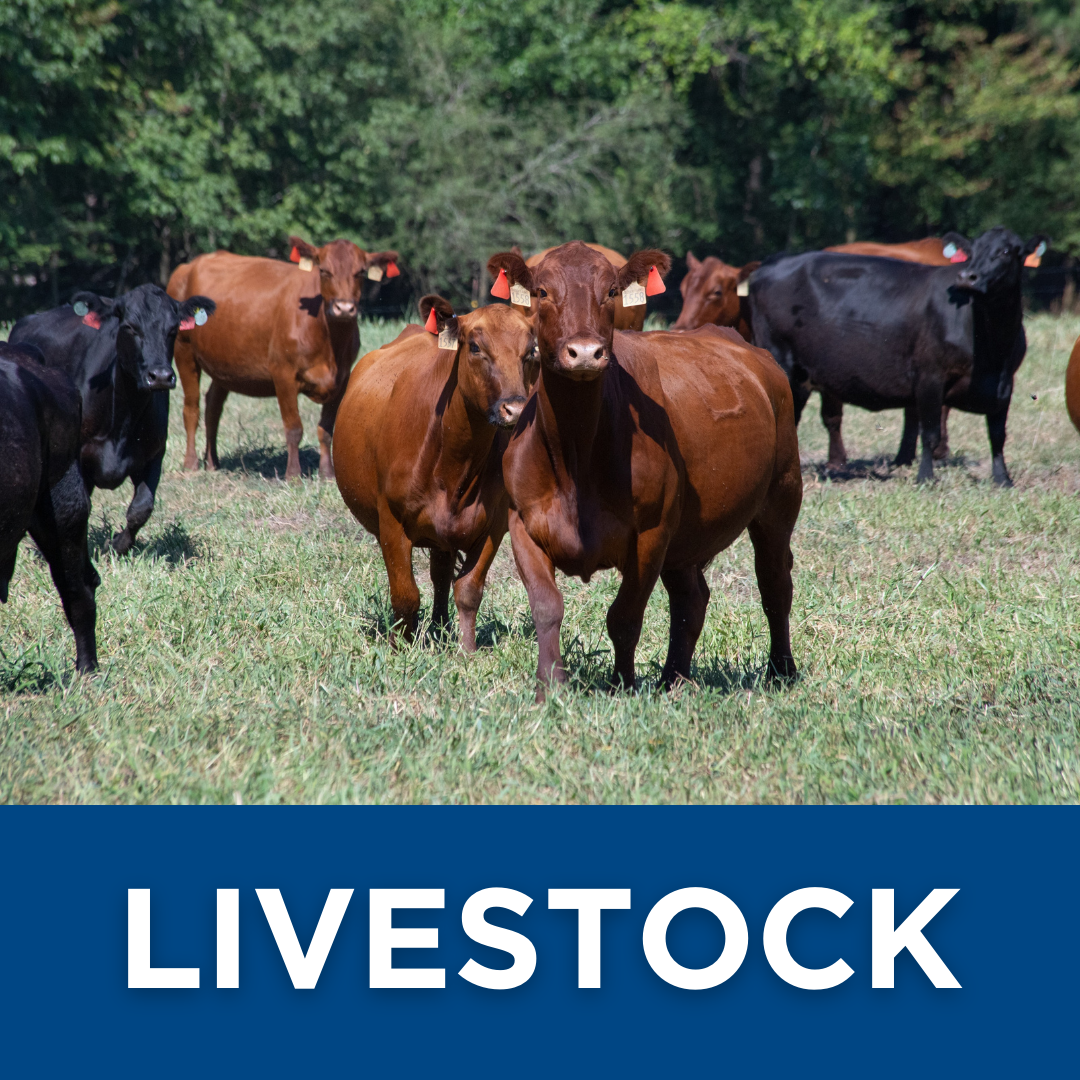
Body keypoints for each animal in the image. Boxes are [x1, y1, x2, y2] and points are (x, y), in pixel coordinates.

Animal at [10, 284, 216, 553]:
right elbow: (79, 507)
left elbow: (142, 507)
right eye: (129, 327)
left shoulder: (154, 453)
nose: (160, 376)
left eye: (173, 329)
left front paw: (118, 544)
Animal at [168, 238, 400, 480]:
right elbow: (294, 428)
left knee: (212, 407)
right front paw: (293, 475)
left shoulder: (342, 379)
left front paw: (327, 473)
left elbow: (326, 429)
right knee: (191, 409)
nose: (344, 308)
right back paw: (191, 463)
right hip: (183, 350)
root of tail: (188, 266)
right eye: (324, 271)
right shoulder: (283, 374)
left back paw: (212, 462)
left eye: (360, 272)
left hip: (223, 364)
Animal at [333, 296, 534, 651]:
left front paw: (466, 651)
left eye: (530, 351)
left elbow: (468, 590)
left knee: (440, 575)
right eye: (475, 347)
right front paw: (400, 648)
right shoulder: (391, 523)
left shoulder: (494, 525)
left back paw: (441, 629)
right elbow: (406, 595)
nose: (516, 410)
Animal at [749, 227, 1047, 485]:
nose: (967, 277)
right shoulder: (930, 376)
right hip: (784, 364)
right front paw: (925, 478)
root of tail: (772, 263)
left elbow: (997, 435)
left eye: (1006, 251)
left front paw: (1003, 479)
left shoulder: (1005, 384)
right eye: (972, 251)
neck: (989, 345)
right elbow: (930, 432)